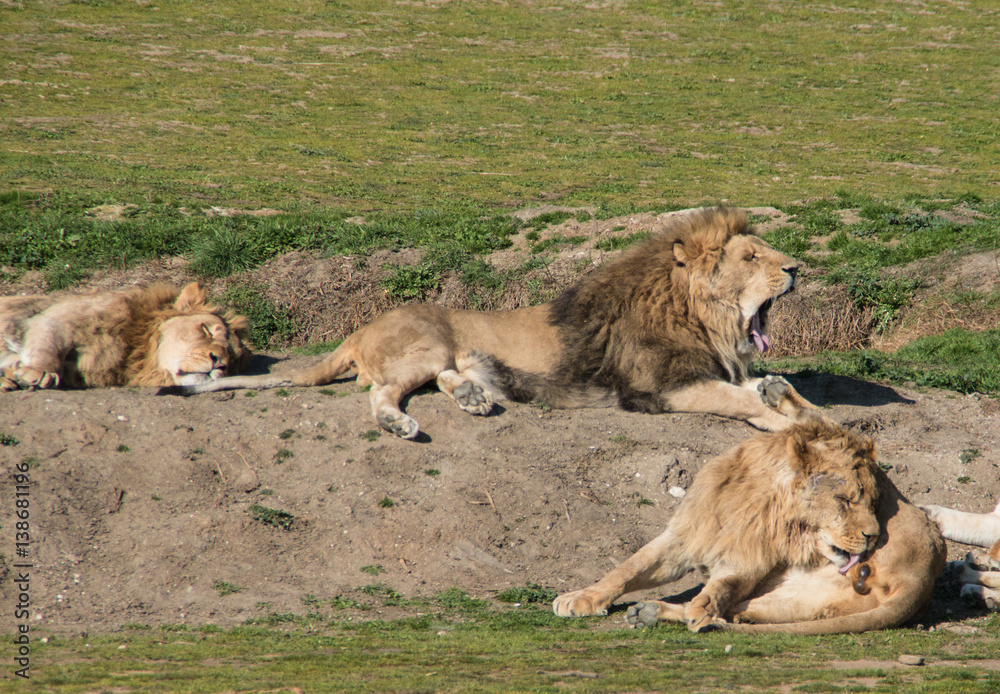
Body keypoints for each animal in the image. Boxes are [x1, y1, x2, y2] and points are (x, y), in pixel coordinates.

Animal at [0, 282, 251, 390]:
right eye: (206, 329)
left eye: (232, 361)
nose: (220, 363)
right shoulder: (54, 320)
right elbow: (47, 347)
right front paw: (37, 373)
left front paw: (13, 376)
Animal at [167, 207, 816, 438]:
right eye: (751, 256)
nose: (797, 267)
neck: (705, 323)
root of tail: (359, 327)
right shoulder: (661, 391)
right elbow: (742, 402)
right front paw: (783, 420)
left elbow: (778, 390)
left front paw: (792, 402)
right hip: (424, 346)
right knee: (383, 393)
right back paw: (403, 424)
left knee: (442, 380)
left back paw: (475, 397)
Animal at [553, 417, 947, 634]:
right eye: (846, 499)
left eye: (875, 502)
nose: (874, 536)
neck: (758, 499)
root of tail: (920, 576)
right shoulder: (685, 536)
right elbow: (626, 567)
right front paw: (581, 598)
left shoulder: (748, 559)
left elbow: (723, 584)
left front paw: (703, 606)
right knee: (743, 612)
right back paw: (651, 612)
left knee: (734, 610)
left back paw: (676, 613)